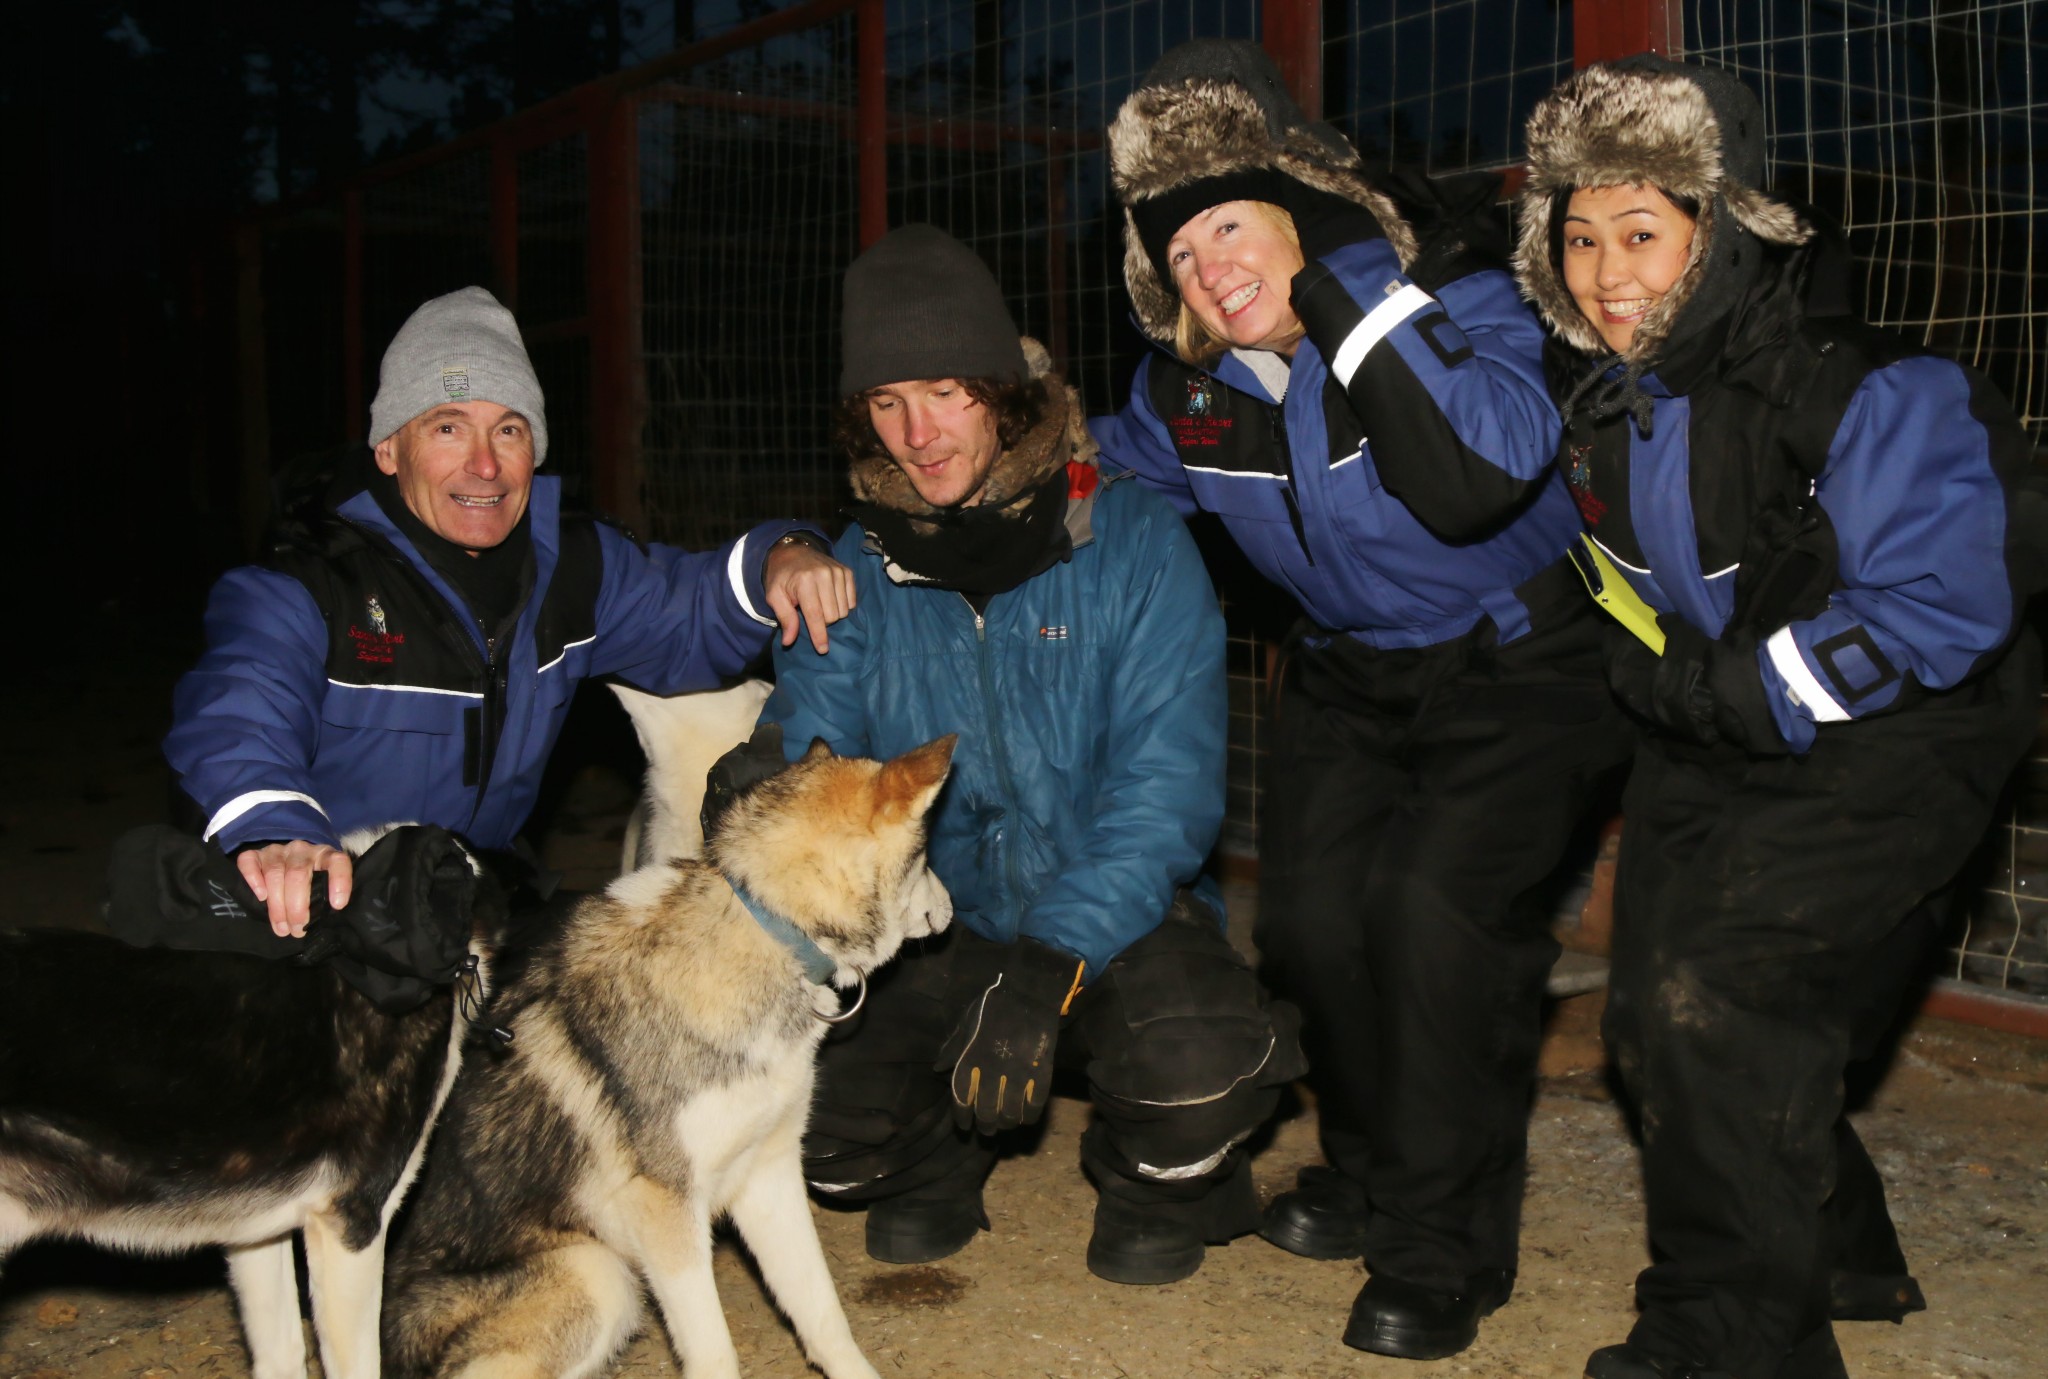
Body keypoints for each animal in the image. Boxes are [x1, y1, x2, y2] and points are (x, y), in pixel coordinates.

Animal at [385, 737, 958, 1376]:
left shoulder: (769, 1174)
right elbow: (714, 1352)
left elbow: (823, 1313)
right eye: (926, 856)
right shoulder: (667, 1213)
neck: (767, 931)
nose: (953, 907)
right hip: (599, 1275)